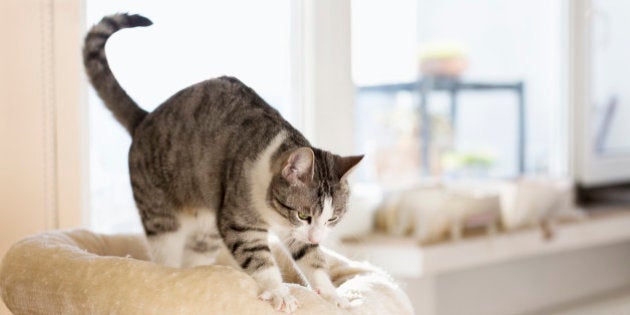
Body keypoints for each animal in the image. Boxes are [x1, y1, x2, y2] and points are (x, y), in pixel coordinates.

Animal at [82, 13, 366, 312]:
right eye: (303, 214)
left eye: (332, 218)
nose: (317, 236)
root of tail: (144, 118)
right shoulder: (239, 219)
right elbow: (259, 257)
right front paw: (278, 292)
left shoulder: (293, 232)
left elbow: (312, 257)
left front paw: (333, 296)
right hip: (160, 215)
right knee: (165, 252)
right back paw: (171, 273)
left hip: (206, 232)